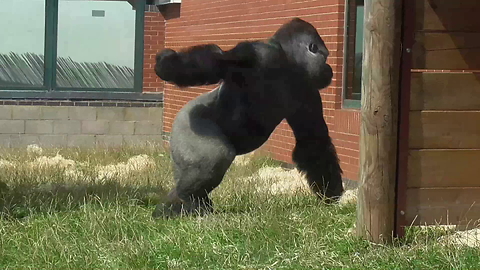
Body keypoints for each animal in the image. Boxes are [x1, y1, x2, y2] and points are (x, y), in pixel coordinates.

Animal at [152, 17, 344, 218]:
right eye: (325, 56)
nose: (329, 68)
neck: (288, 63)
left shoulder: (308, 92)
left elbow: (313, 141)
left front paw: (331, 192)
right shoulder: (259, 52)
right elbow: (219, 59)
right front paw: (166, 63)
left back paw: (176, 205)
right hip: (185, 122)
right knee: (218, 154)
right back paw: (188, 198)